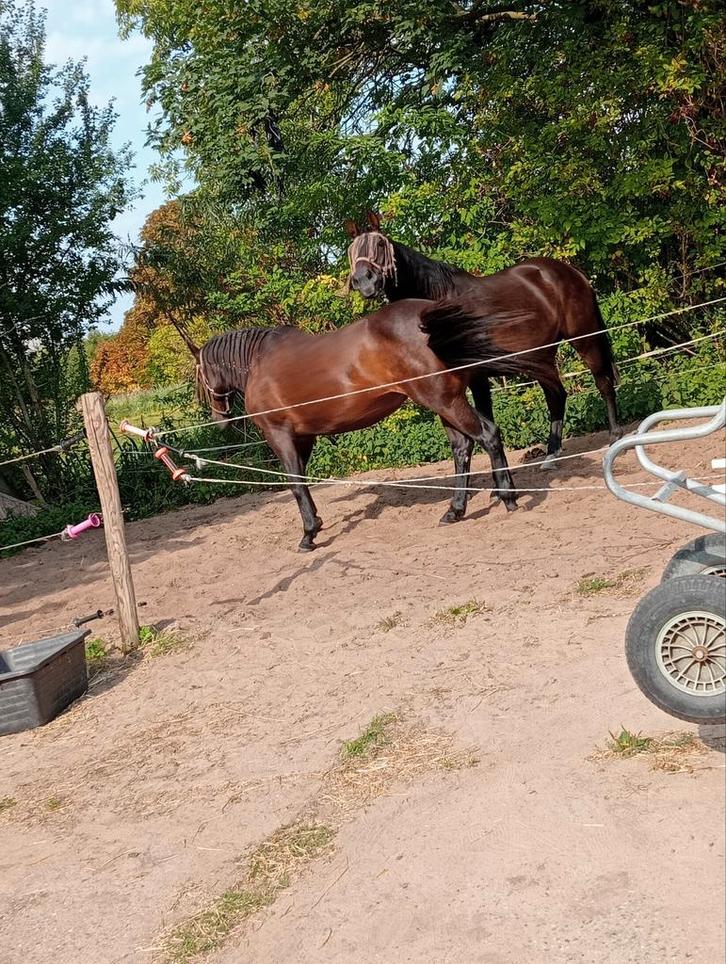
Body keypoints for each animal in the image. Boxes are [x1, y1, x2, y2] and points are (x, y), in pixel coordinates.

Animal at [189, 298, 561, 551]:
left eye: (200, 375)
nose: (219, 420)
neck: (259, 362)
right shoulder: (303, 437)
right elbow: (303, 482)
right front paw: (316, 524)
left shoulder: (279, 434)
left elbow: (295, 484)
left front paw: (308, 534)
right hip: (444, 402)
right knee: (463, 448)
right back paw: (456, 510)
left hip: (443, 400)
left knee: (488, 437)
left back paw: (508, 498)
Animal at [345, 212, 620, 463]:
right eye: (352, 251)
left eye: (380, 245)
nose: (363, 281)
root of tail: (570, 272)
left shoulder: (477, 378)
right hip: (541, 355)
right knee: (557, 396)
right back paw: (551, 453)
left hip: (584, 338)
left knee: (603, 382)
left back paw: (614, 436)